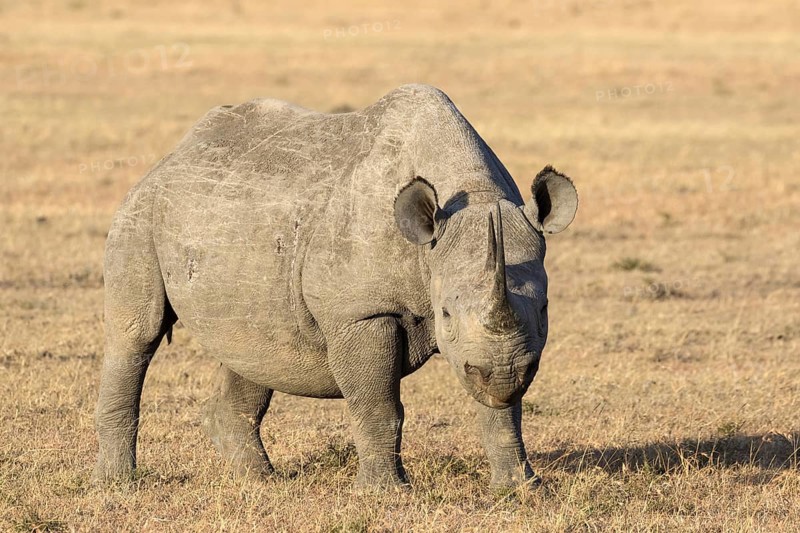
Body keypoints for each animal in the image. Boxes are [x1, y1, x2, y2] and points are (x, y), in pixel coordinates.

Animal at [94, 84, 578, 490]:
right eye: (445, 315)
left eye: (545, 311)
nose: (503, 373)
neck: (474, 194)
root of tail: (171, 157)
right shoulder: (359, 311)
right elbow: (379, 406)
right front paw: (385, 493)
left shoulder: (500, 344)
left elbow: (503, 411)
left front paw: (521, 489)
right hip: (140, 212)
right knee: (136, 334)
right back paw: (120, 484)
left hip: (229, 216)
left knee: (253, 343)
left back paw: (263, 482)